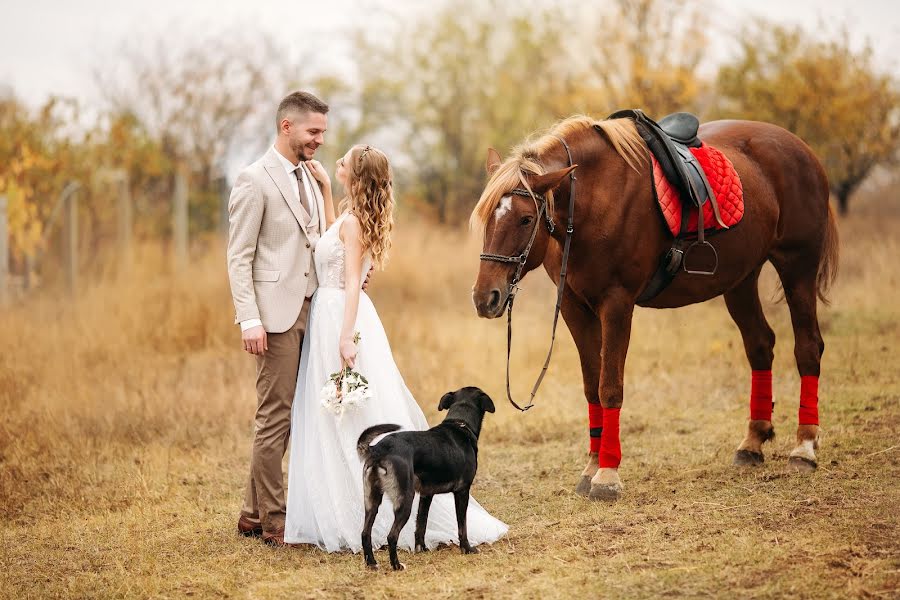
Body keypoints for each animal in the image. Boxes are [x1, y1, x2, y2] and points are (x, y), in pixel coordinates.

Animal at [356, 386, 496, 568]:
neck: (460, 424)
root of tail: (377, 450)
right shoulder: (462, 491)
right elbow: (462, 526)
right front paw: (467, 548)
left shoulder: (426, 494)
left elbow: (421, 524)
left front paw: (421, 549)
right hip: (405, 499)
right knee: (391, 536)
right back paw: (396, 566)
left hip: (372, 500)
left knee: (365, 533)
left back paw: (372, 563)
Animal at [472, 115, 836, 500]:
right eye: (487, 217)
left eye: (526, 219)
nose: (485, 297)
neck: (595, 200)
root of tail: (802, 149)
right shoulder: (573, 306)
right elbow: (591, 386)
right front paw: (591, 466)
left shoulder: (617, 303)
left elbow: (610, 387)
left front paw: (607, 474)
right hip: (741, 279)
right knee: (760, 346)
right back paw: (752, 442)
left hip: (798, 266)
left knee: (808, 348)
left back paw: (804, 447)